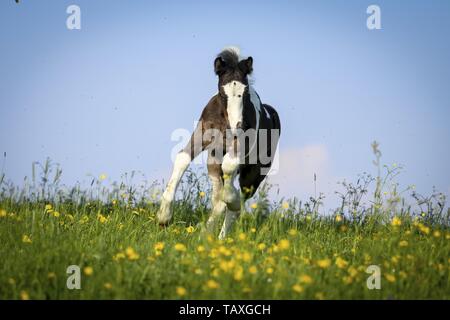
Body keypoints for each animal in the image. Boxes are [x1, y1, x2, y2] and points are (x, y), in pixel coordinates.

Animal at [156, 47, 280, 238]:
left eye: (245, 92)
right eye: (222, 93)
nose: (237, 125)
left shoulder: (240, 144)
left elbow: (229, 170)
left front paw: (232, 200)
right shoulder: (201, 135)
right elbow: (183, 158)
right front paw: (164, 217)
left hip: (254, 174)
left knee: (236, 202)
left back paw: (221, 237)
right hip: (213, 164)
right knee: (218, 199)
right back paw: (205, 234)